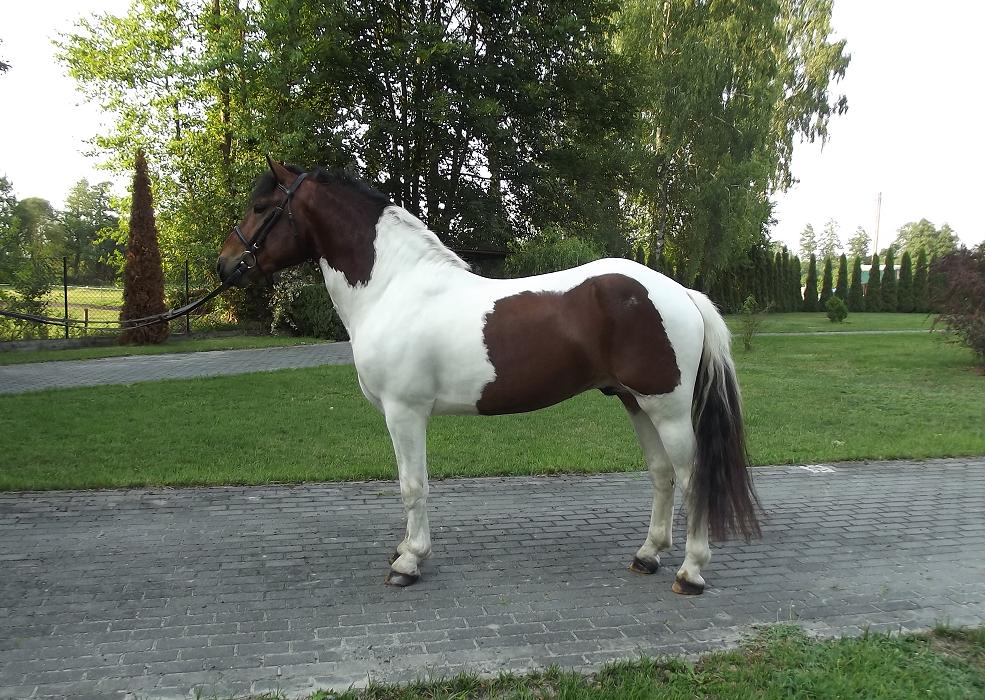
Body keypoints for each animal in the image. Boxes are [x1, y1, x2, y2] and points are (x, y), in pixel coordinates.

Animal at [217, 158, 761, 593]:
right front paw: (404, 550)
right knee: (661, 473)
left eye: (262, 207)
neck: (393, 287)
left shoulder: (404, 412)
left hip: (666, 407)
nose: (225, 266)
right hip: (636, 402)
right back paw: (647, 556)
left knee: (691, 477)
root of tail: (680, 291)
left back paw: (690, 572)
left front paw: (409, 562)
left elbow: (412, 485)